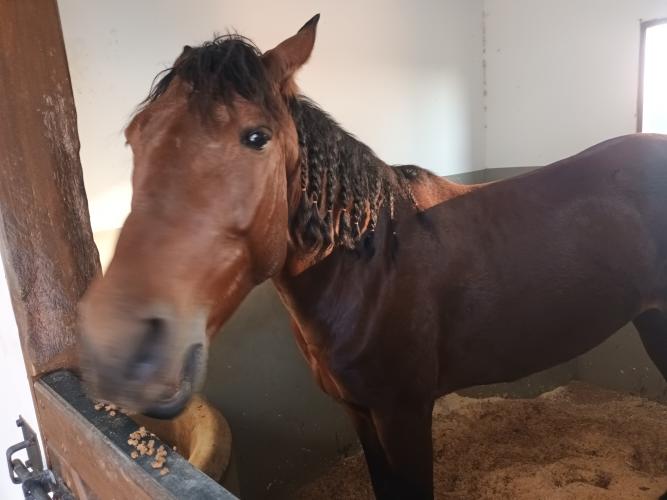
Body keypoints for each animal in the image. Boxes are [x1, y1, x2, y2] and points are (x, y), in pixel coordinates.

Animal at [78, 14, 667, 500]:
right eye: (135, 137)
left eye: (257, 137)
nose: (119, 345)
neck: (370, 268)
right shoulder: (360, 413)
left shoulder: (403, 414)